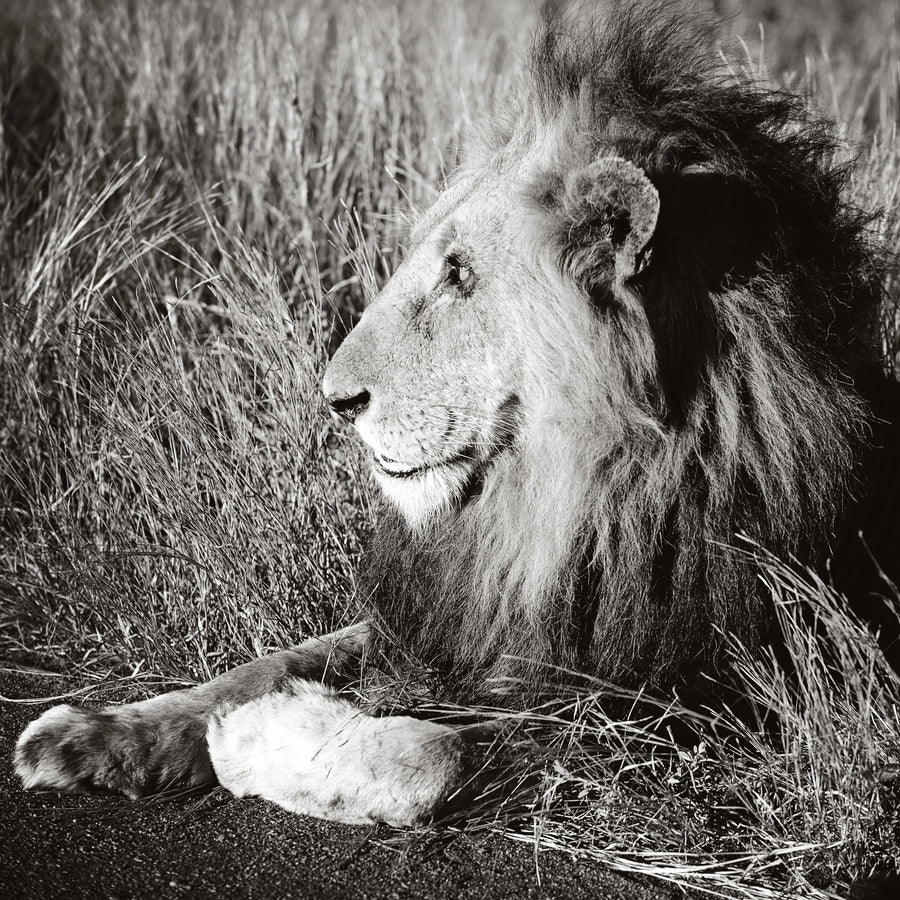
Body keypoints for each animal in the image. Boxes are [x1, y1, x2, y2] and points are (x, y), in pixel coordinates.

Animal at [14, 1, 900, 827]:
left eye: (460, 274)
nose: (336, 401)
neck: (572, 500)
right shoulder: (446, 618)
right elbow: (266, 661)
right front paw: (99, 731)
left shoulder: (682, 709)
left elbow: (433, 752)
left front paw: (253, 735)